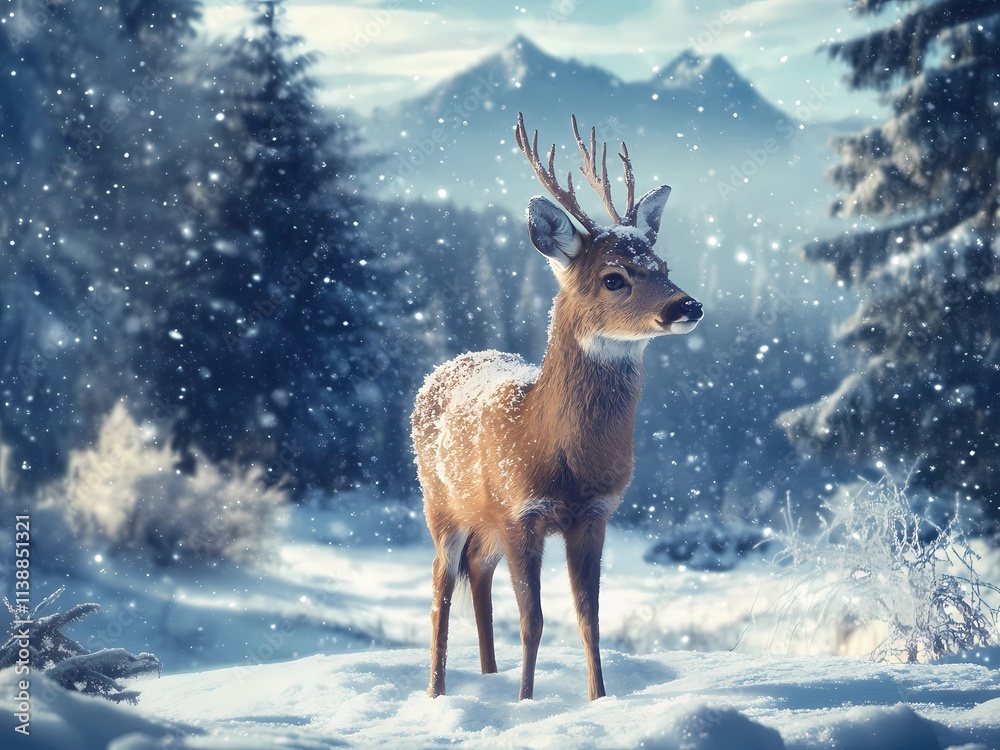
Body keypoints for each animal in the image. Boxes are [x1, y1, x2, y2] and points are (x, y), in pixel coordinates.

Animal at [411, 112, 704, 702]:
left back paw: (488, 677)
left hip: (484, 524)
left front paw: (599, 701)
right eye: (615, 277)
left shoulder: (595, 514)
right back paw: (437, 694)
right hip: (441, 505)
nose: (688, 305)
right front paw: (526, 704)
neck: (549, 441)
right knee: (439, 588)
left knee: (477, 573)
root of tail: (445, 367)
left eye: (663, 264)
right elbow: (534, 620)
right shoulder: (521, 512)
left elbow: (588, 617)